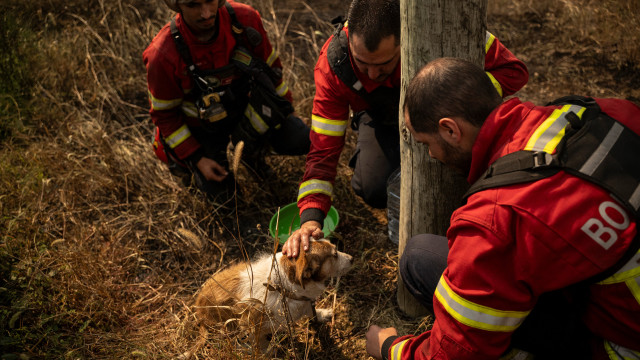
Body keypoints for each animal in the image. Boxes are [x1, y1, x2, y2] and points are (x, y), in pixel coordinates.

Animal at [195, 239, 356, 348]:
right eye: (334, 254)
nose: (352, 258)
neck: (282, 287)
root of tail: (200, 315)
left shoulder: (305, 303)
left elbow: (312, 312)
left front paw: (322, 314)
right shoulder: (255, 328)